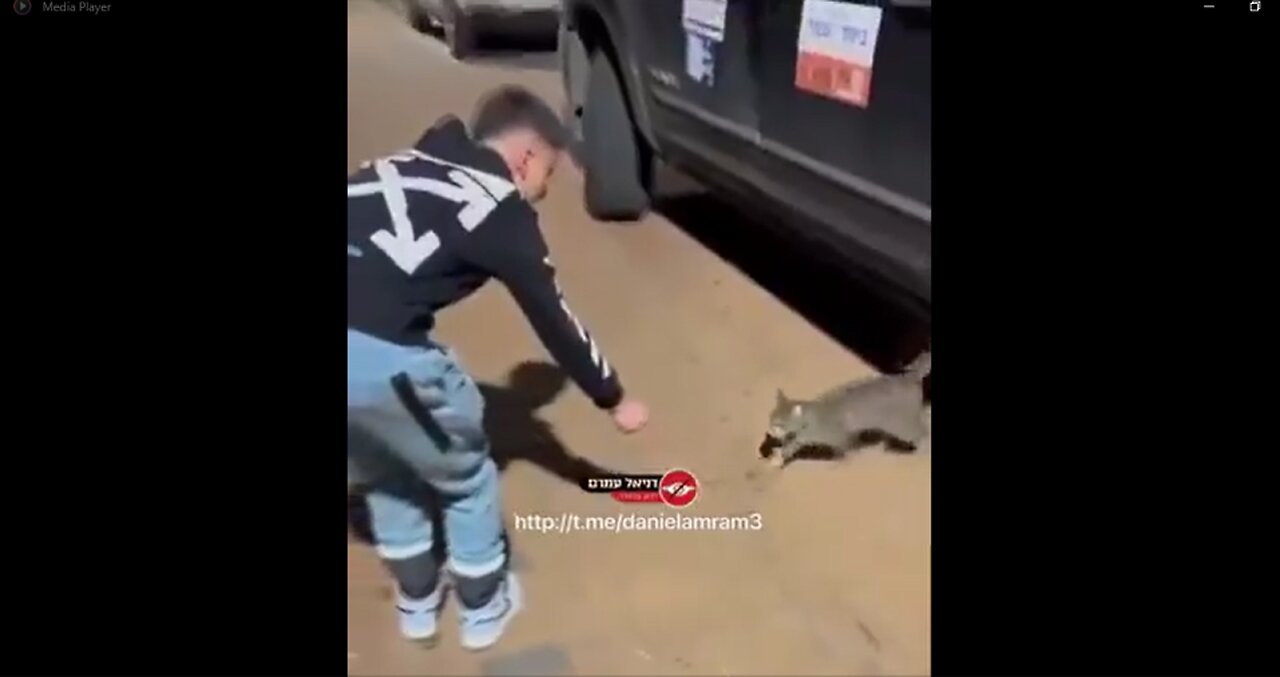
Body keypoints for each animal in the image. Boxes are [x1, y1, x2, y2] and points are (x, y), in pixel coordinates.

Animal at [757, 350, 931, 468]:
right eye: (771, 420)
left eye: (779, 424)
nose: (770, 431)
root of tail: (909, 377)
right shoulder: (800, 438)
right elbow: (791, 447)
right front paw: (777, 458)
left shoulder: (837, 436)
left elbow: (844, 449)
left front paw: (840, 460)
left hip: (902, 425)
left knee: (923, 433)